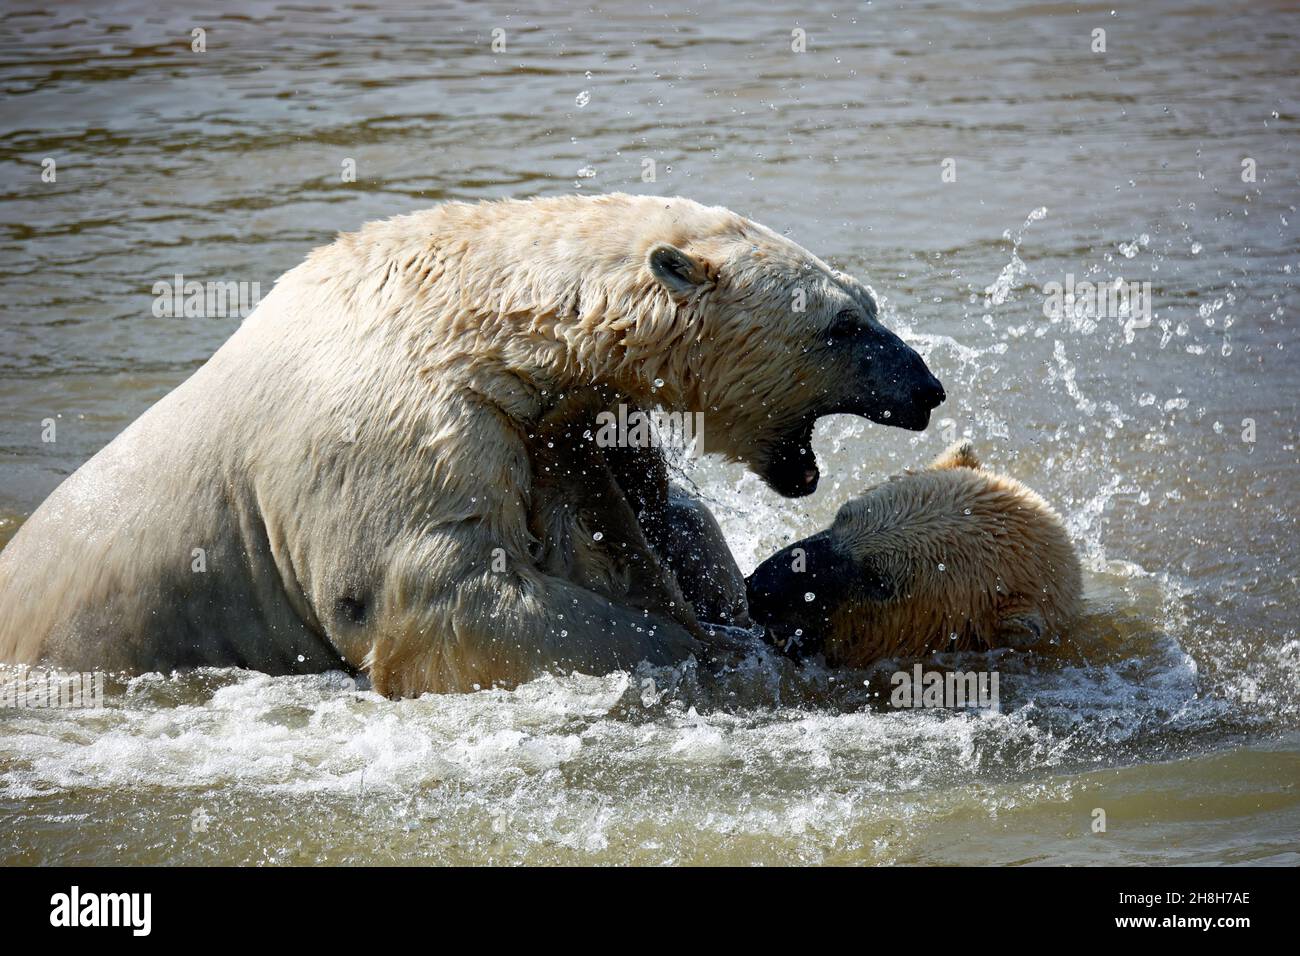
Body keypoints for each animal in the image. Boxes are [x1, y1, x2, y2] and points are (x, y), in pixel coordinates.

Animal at [0, 195, 941, 697]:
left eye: (865, 302)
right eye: (843, 324)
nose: (926, 390)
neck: (486, 318)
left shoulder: (572, 428)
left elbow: (661, 520)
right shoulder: (411, 427)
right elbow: (450, 595)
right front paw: (708, 655)